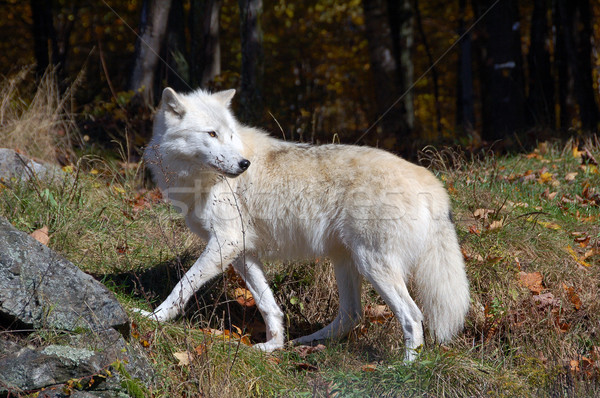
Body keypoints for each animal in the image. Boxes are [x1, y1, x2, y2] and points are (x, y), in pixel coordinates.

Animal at [144, 88, 468, 362]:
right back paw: (305, 342)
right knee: (352, 315)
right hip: (346, 261)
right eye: (212, 134)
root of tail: (431, 183)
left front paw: (152, 318)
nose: (244, 164)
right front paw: (272, 345)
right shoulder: (242, 251)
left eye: (230, 135)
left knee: (412, 316)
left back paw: (405, 367)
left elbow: (182, 285)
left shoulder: (226, 242)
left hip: (372, 264)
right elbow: (268, 305)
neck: (197, 181)